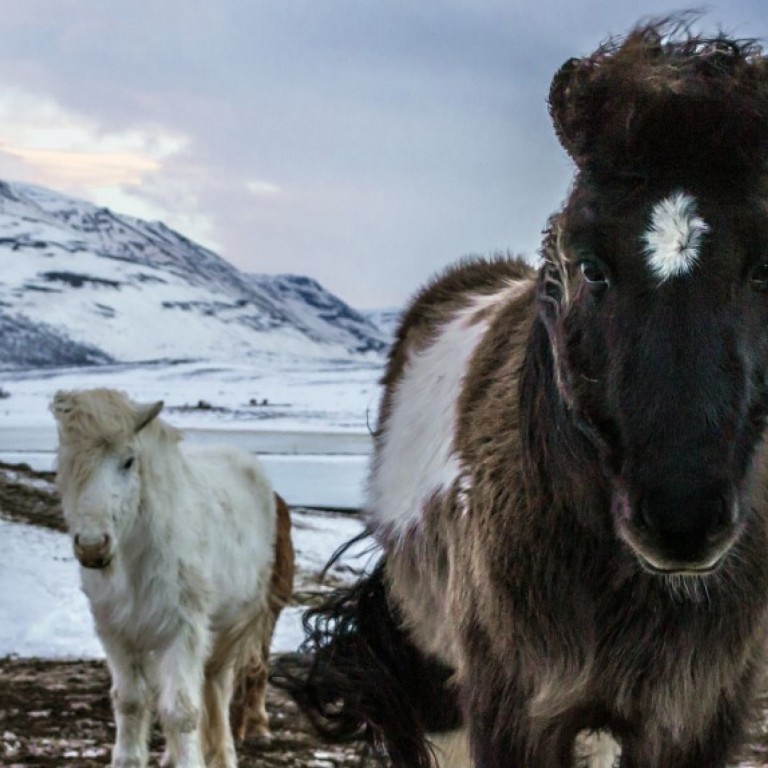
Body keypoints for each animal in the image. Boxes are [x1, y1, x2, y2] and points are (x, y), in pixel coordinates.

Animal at [51, 388, 294, 768]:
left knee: (218, 689)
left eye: (128, 461)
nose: (92, 546)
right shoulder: (116, 632)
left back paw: (223, 755)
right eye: (65, 460)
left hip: (231, 629)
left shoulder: (183, 630)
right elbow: (130, 701)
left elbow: (182, 710)